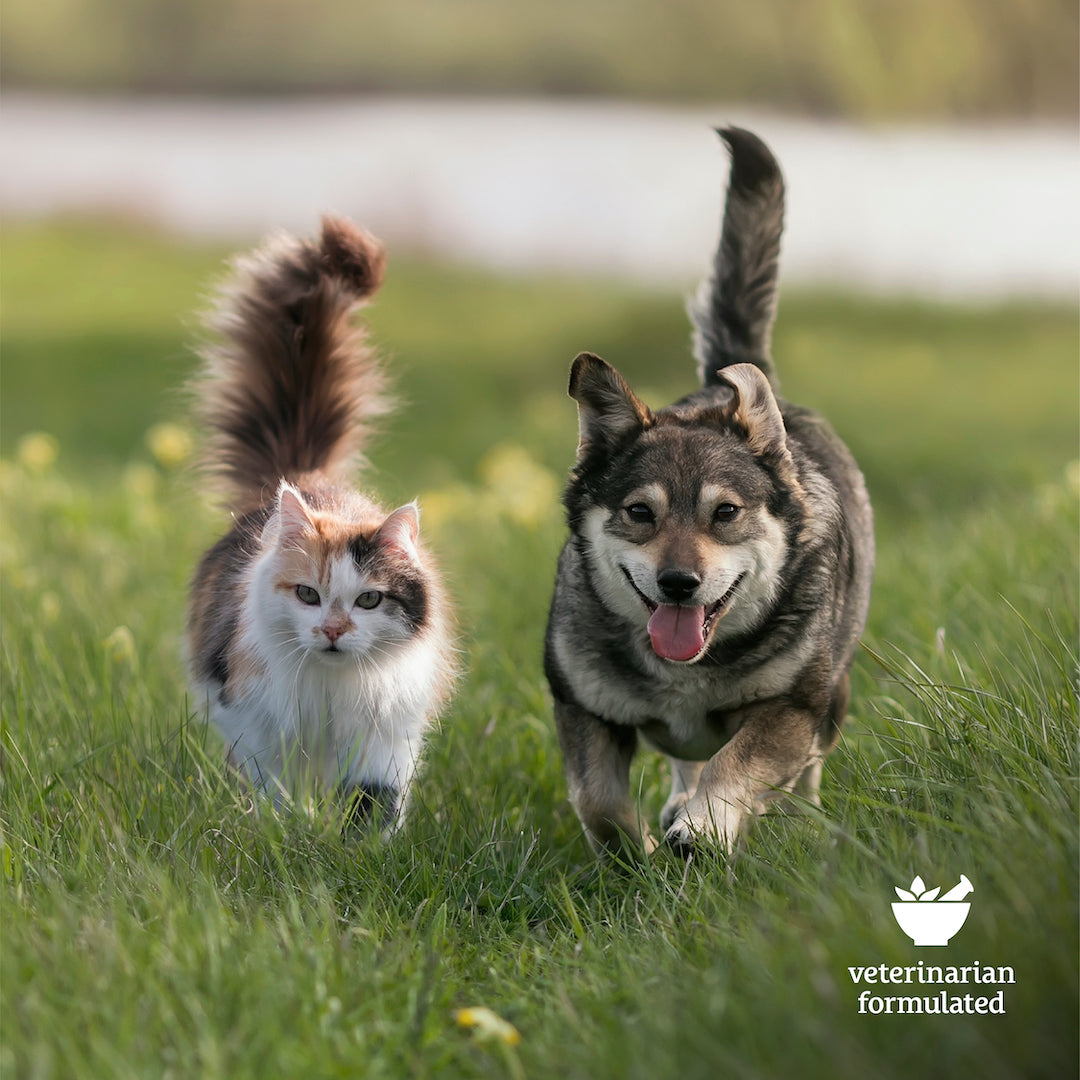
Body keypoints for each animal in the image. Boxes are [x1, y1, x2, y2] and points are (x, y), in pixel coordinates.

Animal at [185, 214, 455, 829]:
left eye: (369, 600)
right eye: (308, 594)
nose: (332, 631)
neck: (331, 690)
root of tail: (306, 475)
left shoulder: (387, 736)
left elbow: (375, 799)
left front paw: (362, 846)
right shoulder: (251, 719)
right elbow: (272, 789)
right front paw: (286, 830)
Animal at [544, 126, 872, 855]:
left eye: (725, 513)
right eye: (639, 513)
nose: (678, 584)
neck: (685, 672)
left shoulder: (792, 707)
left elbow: (740, 761)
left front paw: (705, 825)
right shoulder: (583, 706)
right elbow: (597, 799)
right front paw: (632, 851)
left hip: (832, 695)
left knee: (804, 769)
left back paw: (789, 821)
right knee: (682, 761)